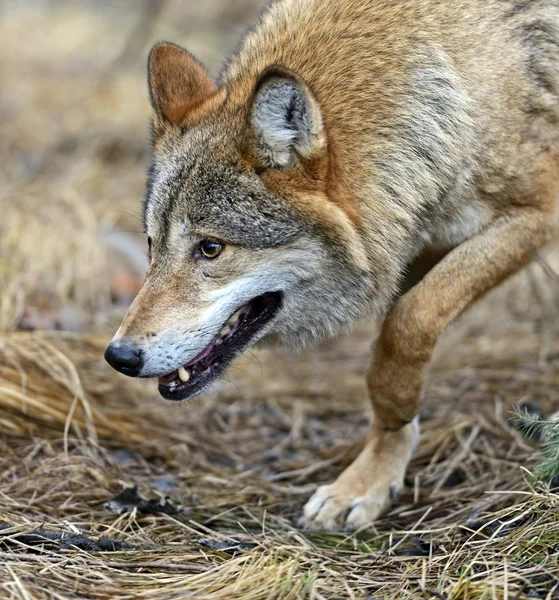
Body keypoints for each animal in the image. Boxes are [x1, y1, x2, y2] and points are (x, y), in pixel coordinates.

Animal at [105, 0, 559, 532]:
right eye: (151, 244)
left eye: (211, 248)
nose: (119, 356)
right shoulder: (408, 241)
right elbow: (396, 333)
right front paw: (371, 476)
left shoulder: (536, 214)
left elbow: (410, 321)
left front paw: (396, 412)